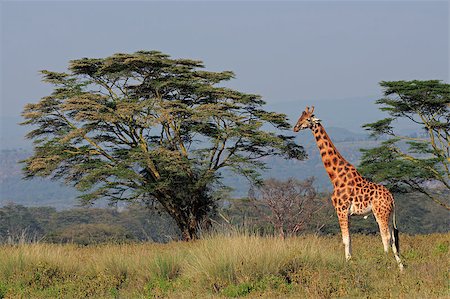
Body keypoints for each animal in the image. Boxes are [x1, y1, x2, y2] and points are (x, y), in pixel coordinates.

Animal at [294, 106, 402, 270]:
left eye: (306, 119)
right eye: (299, 118)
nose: (295, 127)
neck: (335, 177)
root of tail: (391, 198)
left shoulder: (341, 209)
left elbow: (345, 239)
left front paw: (347, 263)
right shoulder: (348, 213)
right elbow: (349, 239)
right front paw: (350, 261)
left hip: (380, 213)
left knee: (386, 237)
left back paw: (386, 263)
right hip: (388, 214)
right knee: (394, 238)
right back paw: (401, 268)